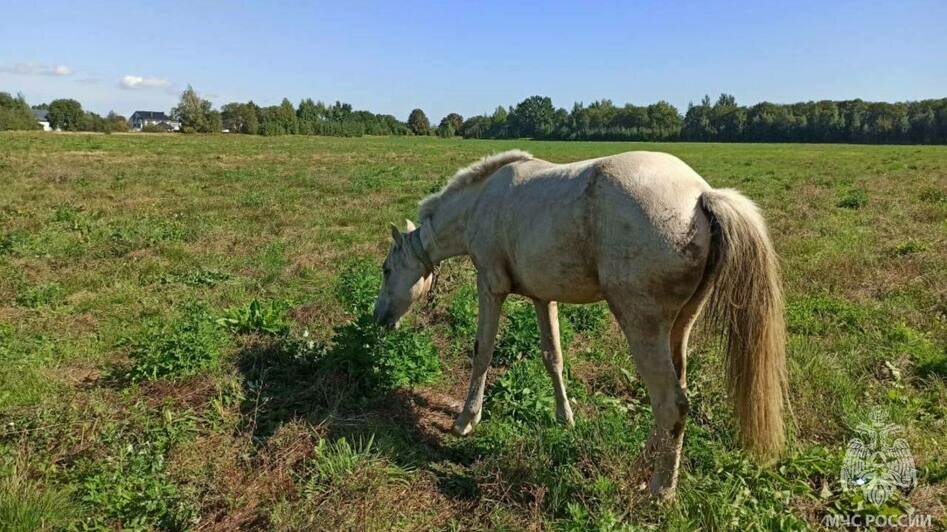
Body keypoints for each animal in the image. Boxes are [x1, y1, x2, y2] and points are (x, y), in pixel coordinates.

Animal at [374, 149, 788, 494]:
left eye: (386, 269)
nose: (379, 319)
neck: (483, 200)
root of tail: (701, 197)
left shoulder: (490, 287)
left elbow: (483, 352)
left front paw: (465, 420)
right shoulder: (543, 297)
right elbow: (552, 357)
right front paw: (565, 417)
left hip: (642, 327)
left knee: (671, 404)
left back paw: (660, 490)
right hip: (679, 327)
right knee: (674, 399)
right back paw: (644, 465)